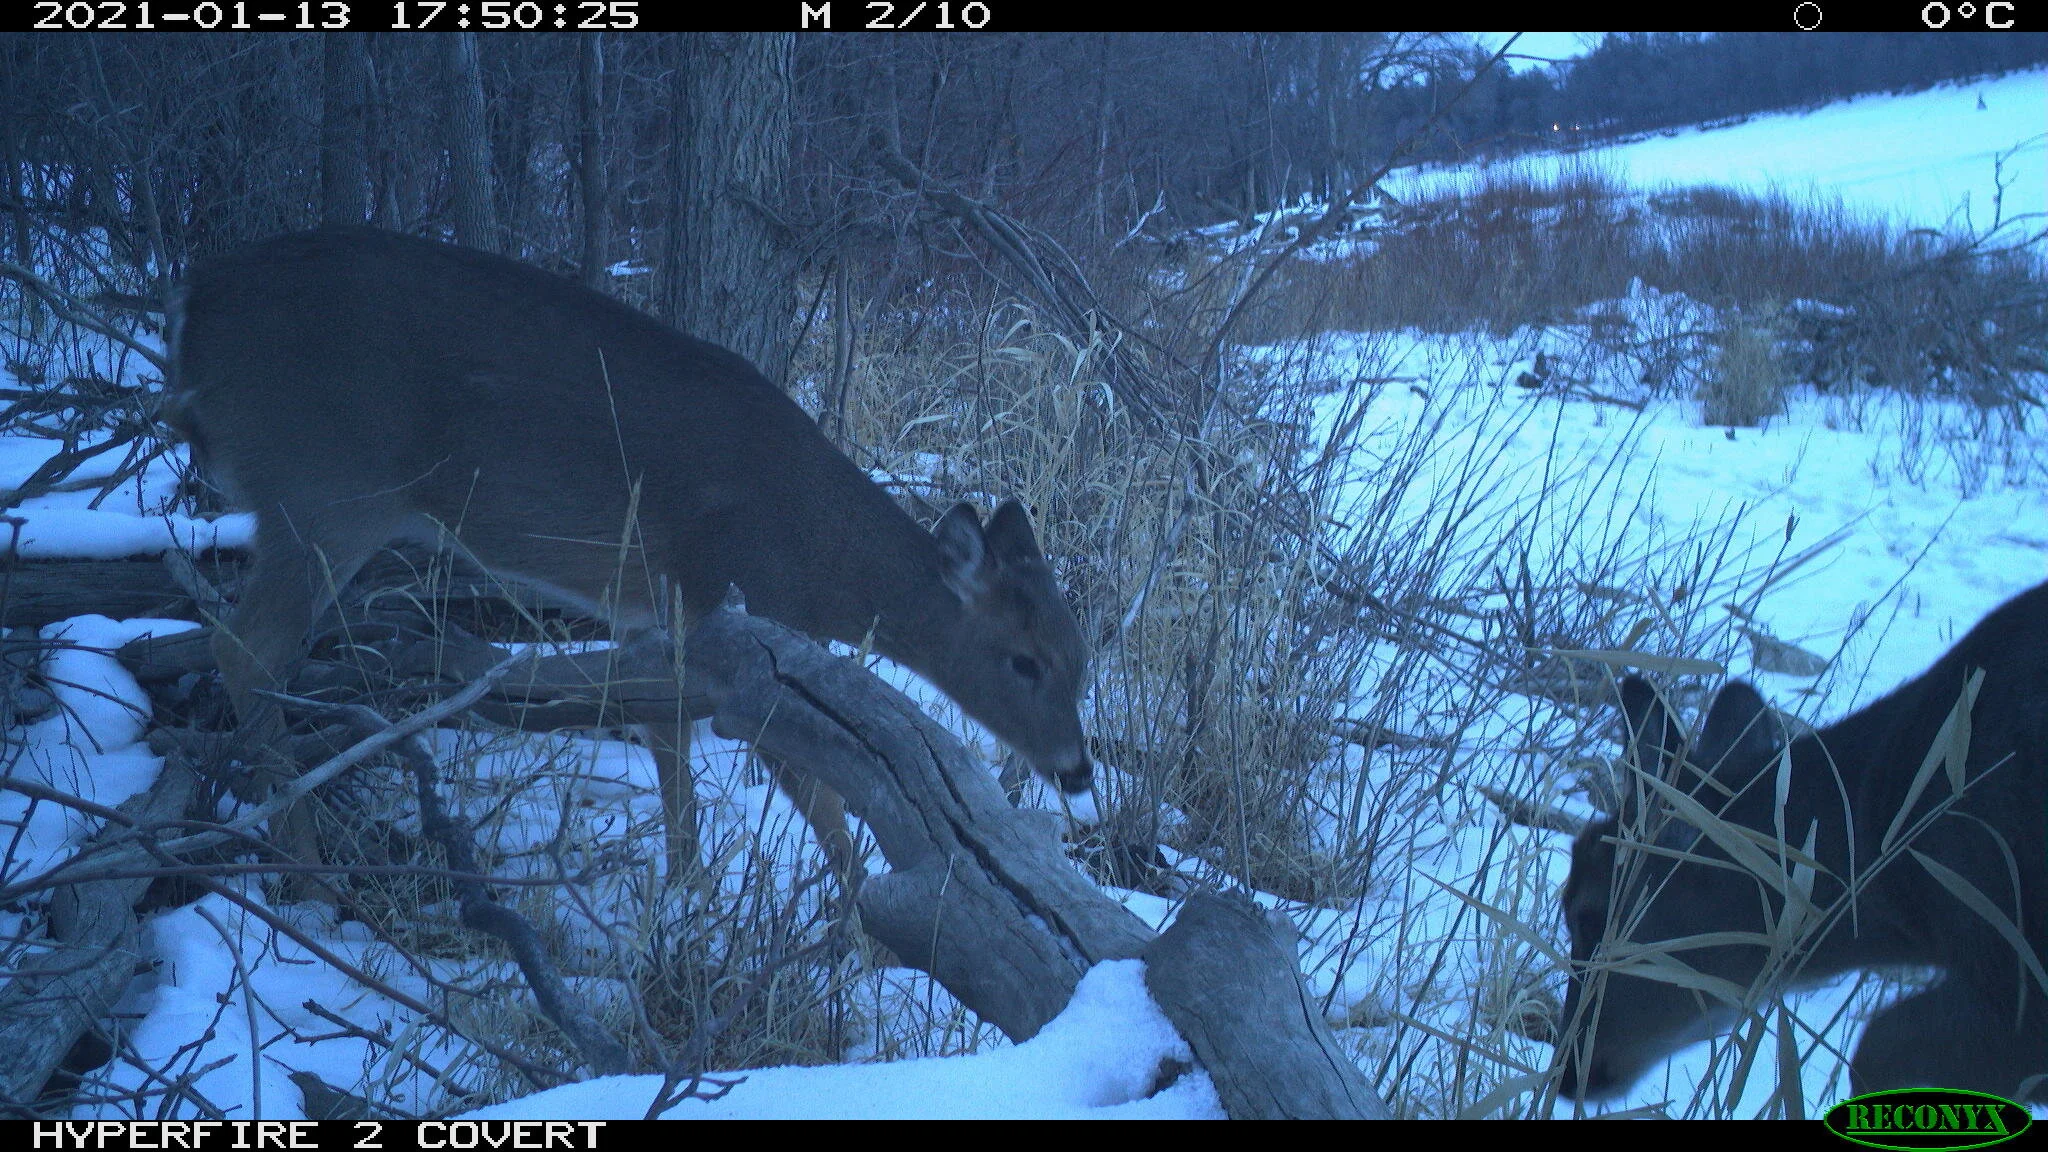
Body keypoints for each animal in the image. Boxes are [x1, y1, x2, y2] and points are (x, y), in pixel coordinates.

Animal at [166, 226, 1094, 892]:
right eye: (1025, 660)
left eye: (1082, 658)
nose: (1077, 771)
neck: (817, 556)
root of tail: (193, 307)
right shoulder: (737, 600)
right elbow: (814, 788)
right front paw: (860, 931)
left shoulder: (671, 613)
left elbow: (665, 734)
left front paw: (686, 892)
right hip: (325, 488)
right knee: (244, 646)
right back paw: (307, 872)